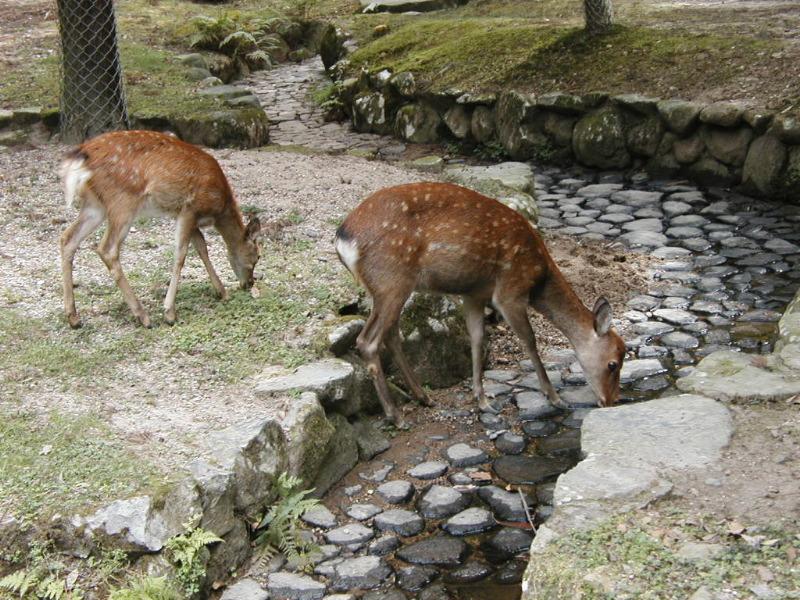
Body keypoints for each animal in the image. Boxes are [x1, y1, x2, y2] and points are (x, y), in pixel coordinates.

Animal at [60, 130, 260, 328]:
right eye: (257, 256)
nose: (249, 283)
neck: (219, 208)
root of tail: (82, 155)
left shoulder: (184, 215)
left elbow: (201, 248)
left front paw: (222, 292)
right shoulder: (190, 208)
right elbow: (181, 255)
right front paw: (169, 312)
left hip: (95, 205)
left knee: (67, 238)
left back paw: (73, 317)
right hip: (123, 201)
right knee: (107, 249)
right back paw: (143, 316)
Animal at [334, 182, 628, 426]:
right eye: (613, 364)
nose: (611, 400)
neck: (539, 276)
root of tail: (343, 239)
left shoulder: (473, 294)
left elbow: (476, 339)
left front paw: (483, 400)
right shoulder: (509, 291)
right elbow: (530, 341)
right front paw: (555, 397)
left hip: (388, 288)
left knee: (392, 335)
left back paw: (424, 397)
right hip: (391, 280)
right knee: (368, 341)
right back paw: (396, 416)